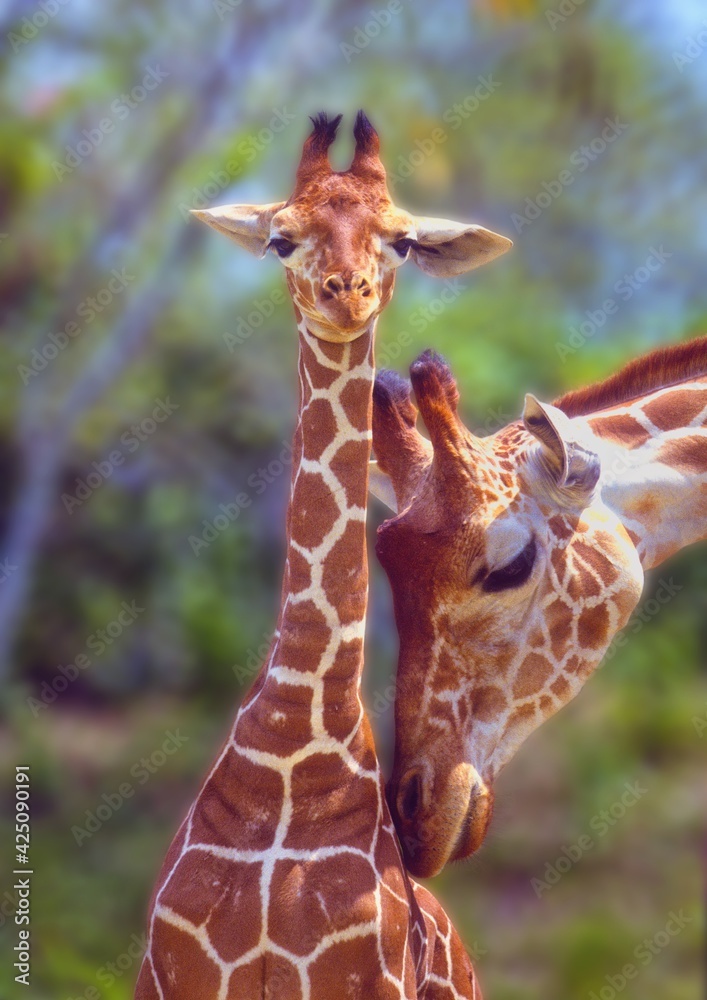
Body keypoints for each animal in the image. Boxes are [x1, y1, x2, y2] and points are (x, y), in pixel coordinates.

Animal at [134, 112, 512, 998]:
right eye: (281, 239)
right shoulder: (168, 975)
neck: (290, 758)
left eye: (401, 241)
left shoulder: (365, 982)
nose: (348, 293)